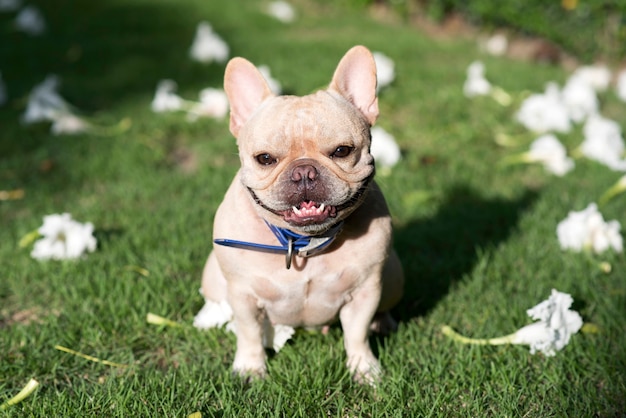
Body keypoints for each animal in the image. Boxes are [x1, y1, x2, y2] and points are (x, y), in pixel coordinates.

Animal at [193, 45, 402, 382]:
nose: (304, 171)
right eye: (265, 158)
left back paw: (382, 323)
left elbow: (356, 334)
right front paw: (250, 368)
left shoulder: (365, 291)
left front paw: (364, 369)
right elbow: (249, 333)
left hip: (394, 277)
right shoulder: (242, 295)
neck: (302, 242)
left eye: (342, 151)